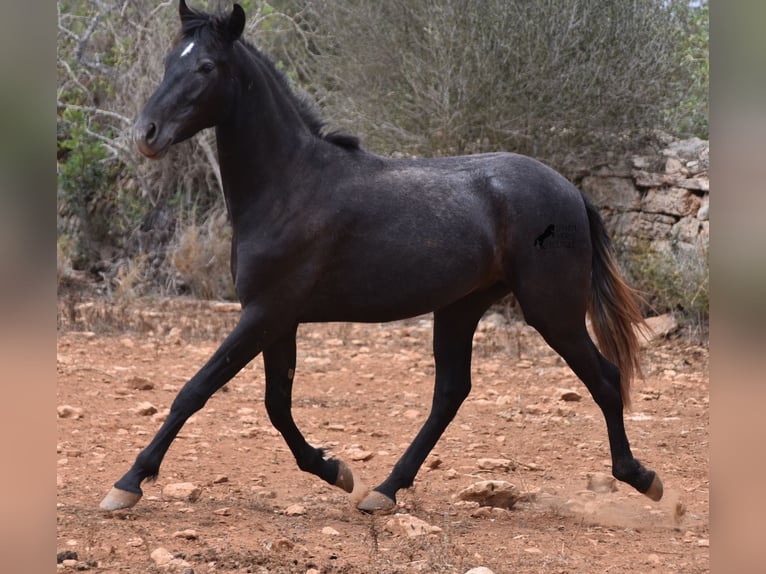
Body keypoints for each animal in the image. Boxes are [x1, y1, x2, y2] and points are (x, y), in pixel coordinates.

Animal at [100, 0, 664, 512]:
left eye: (206, 66)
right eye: (169, 61)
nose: (145, 134)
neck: (289, 185)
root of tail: (569, 190)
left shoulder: (265, 313)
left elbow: (195, 391)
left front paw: (128, 483)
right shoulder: (278, 319)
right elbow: (277, 405)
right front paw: (334, 470)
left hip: (552, 311)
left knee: (605, 378)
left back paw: (641, 477)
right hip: (460, 308)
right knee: (450, 394)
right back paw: (385, 490)